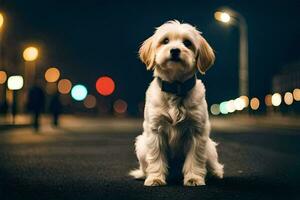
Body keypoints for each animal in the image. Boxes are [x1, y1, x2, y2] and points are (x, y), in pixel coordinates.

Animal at [130, 20, 224, 186]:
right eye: (165, 41)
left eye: (187, 43)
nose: (174, 50)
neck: (176, 87)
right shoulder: (155, 131)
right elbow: (156, 158)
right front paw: (155, 178)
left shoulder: (197, 132)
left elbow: (195, 159)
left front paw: (193, 178)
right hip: (141, 144)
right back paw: (143, 174)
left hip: (210, 147)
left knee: (212, 164)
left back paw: (215, 173)